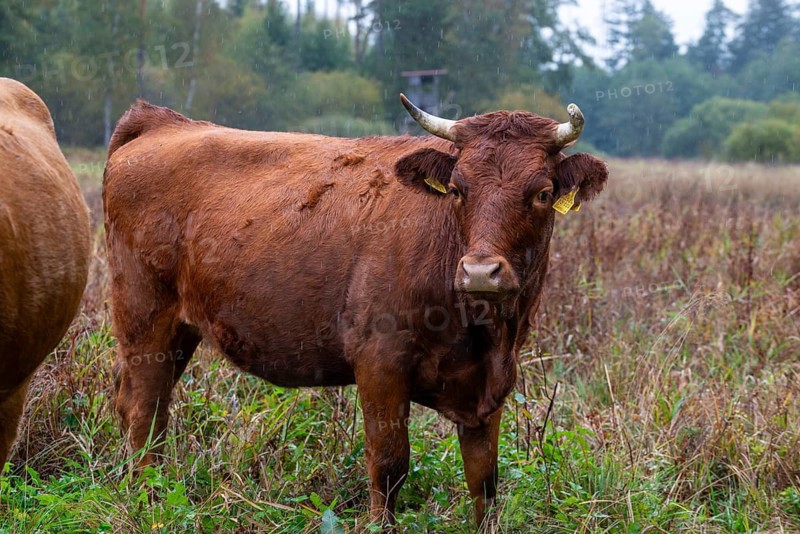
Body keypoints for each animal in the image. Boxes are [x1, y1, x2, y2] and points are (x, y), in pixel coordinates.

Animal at [102, 95, 607, 528]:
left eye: (542, 193)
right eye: (457, 190)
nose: (480, 271)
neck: (484, 330)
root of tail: (161, 122)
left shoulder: (493, 383)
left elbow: (485, 479)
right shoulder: (380, 363)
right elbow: (389, 462)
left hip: (179, 331)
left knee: (147, 407)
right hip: (144, 316)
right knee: (144, 410)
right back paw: (147, 501)